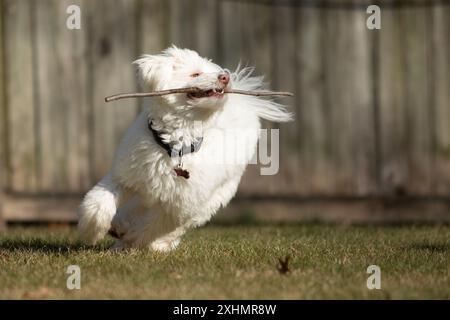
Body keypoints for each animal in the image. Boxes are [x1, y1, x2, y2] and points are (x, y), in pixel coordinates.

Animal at [77, 46, 292, 251]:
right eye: (195, 74)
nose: (225, 77)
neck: (174, 143)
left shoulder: (180, 206)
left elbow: (154, 226)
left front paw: (135, 238)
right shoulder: (124, 177)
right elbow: (99, 202)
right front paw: (92, 230)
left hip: (214, 198)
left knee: (174, 227)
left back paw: (152, 243)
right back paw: (120, 227)